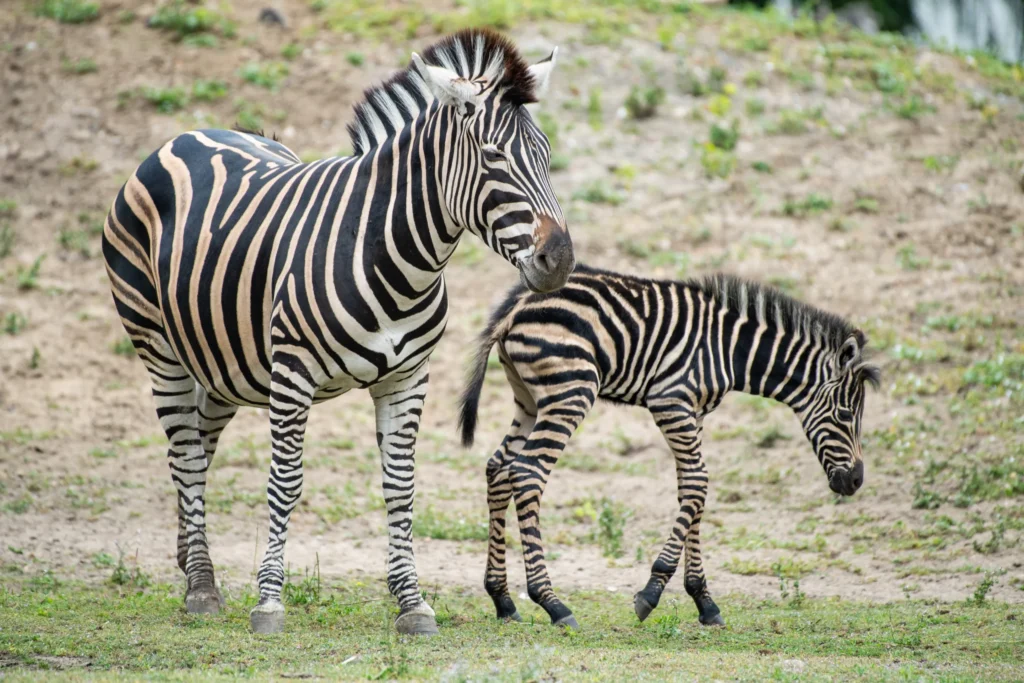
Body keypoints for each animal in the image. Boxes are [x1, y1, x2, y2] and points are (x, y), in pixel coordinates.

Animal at [101, 26, 577, 634]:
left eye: (546, 156)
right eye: (494, 157)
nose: (559, 261)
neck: (396, 256)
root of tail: (187, 134)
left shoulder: (408, 377)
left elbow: (400, 485)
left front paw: (411, 602)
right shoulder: (293, 371)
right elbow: (285, 483)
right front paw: (269, 601)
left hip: (220, 360)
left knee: (195, 451)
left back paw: (190, 563)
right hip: (158, 345)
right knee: (185, 454)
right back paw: (203, 587)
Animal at [460, 266, 876, 630]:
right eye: (844, 415)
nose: (856, 481)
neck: (729, 350)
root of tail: (518, 303)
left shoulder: (694, 413)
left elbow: (690, 489)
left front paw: (704, 601)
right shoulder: (671, 402)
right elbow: (698, 483)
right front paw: (652, 592)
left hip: (529, 399)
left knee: (498, 469)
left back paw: (502, 598)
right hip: (570, 391)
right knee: (528, 473)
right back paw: (552, 602)